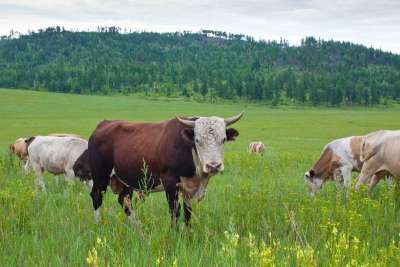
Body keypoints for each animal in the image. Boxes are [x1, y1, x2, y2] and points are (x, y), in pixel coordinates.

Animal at [88, 113, 242, 228]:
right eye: (197, 140)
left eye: (223, 139)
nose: (213, 166)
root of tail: (105, 123)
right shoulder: (170, 182)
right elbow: (174, 211)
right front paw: (175, 234)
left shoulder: (189, 188)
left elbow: (187, 213)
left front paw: (188, 233)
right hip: (101, 175)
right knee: (97, 196)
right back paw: (98, 225)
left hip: (125, 179)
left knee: (125, 201)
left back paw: (138, 228)